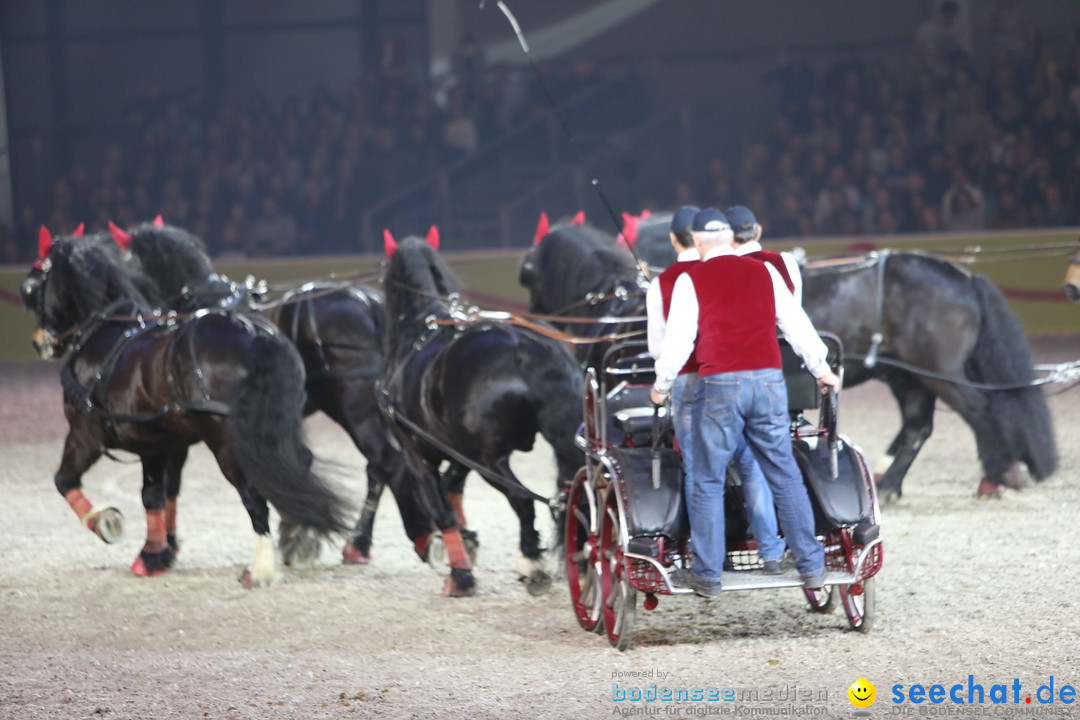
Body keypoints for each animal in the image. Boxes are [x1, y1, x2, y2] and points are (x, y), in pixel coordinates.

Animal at [22, 235, 349, 587]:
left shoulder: (84, 436)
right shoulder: (154, 444)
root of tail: (253, 331)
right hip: (273, 429)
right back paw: (299, 539)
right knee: (294, 468)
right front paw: (154, 555)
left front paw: (105, 522)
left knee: (254, 492)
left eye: (32, 287)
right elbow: (154, 495)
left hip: (229, 442)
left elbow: (64, 480)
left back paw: (260, 568)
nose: (38, 342)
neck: (104, 334)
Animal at [380, 231, 583, 595]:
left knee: (522, 500)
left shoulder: (419, 456)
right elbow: (452, 486)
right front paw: (466, 541)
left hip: (489, 461)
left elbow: (442, 507)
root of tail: (521, 343)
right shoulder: (458, 451)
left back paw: (530, 561)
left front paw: (460, 574)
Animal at [803, 250, 1054, 498]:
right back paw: (889, 485)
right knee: (918, 427)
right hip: (912, 377)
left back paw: (998, 473)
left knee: (978, 408)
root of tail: (966, 280)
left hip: (938, 372)